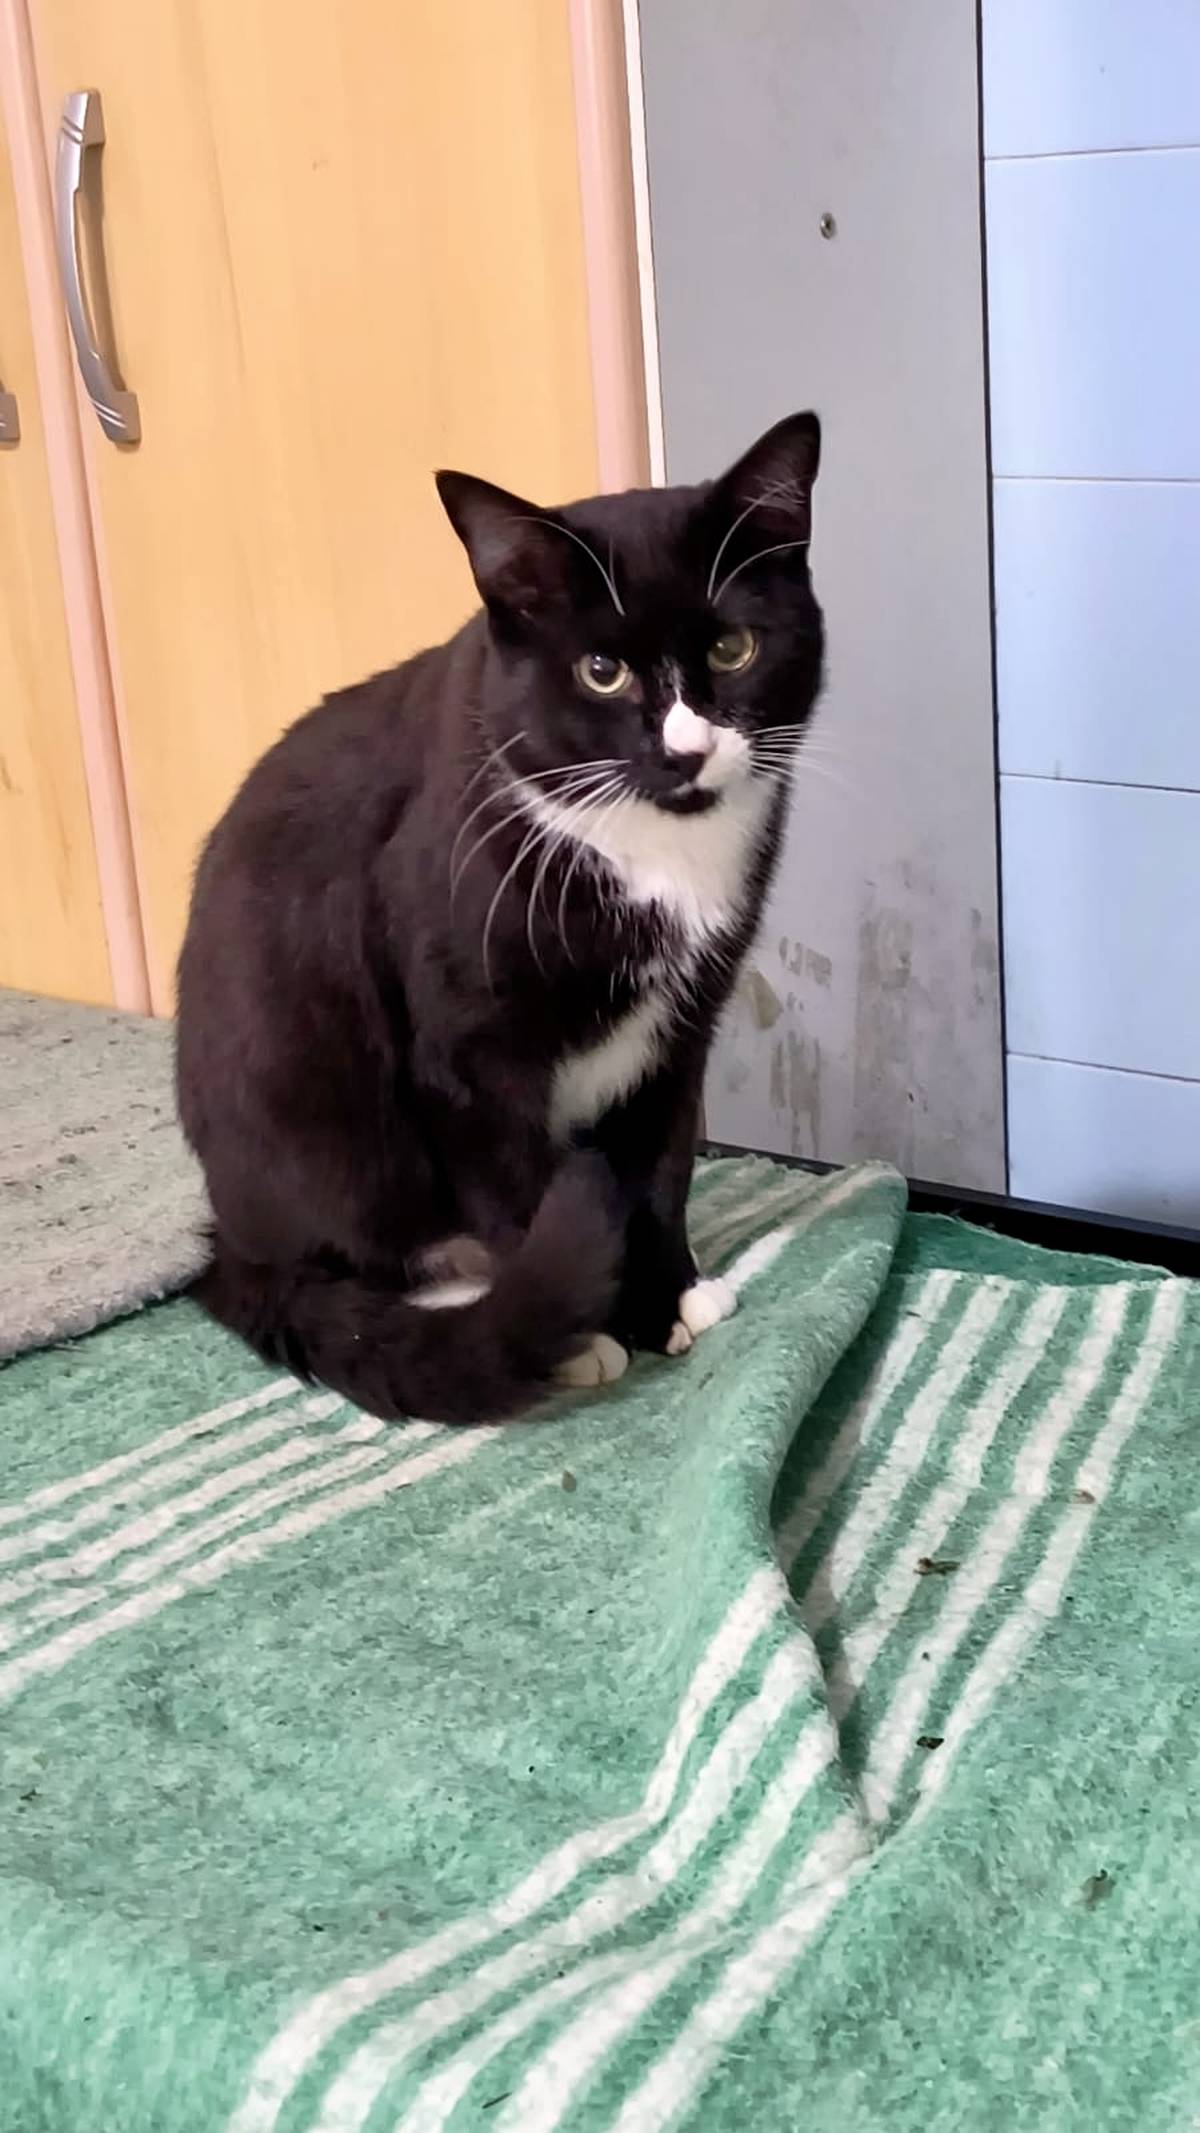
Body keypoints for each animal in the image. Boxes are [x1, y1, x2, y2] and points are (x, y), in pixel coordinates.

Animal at [176, 410, 824, 1423]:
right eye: (600, 670)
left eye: (733, 650)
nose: (685, 751)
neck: (652, 850)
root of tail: (227, 1248)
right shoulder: (466, 1054)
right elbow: (517, 1185)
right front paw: (577, 1332)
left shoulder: (681, 1030)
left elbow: (662, 1168)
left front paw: (668, 1295)